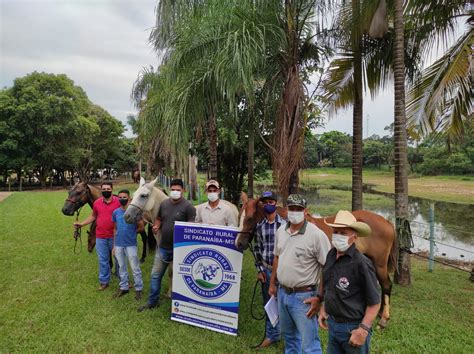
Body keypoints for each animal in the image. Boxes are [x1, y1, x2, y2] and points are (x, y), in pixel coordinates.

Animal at [236, 192, 396, 328]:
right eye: (239, 217)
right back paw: (380, 313)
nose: (239, 243)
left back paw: (384, 318)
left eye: (249, 218)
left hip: (380, 264)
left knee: (386, 284)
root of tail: (387, 222)